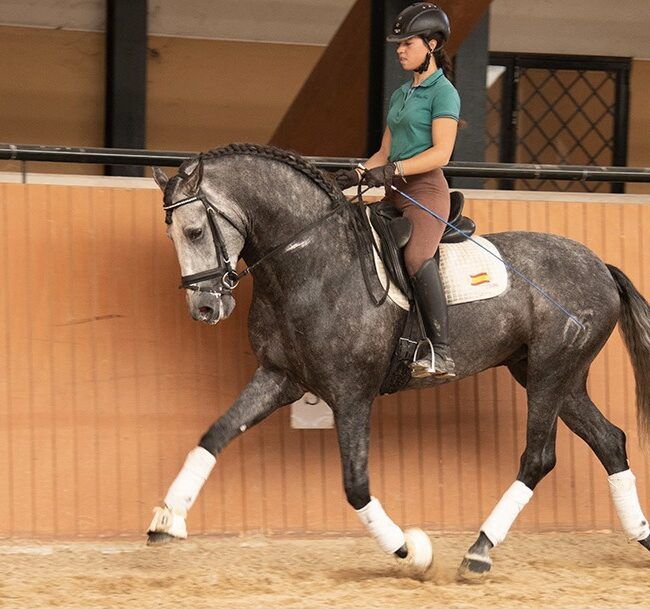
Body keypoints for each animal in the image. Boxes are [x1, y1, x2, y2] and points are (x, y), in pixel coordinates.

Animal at [147, 143, 650, 578]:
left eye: (194, 231)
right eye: (170, 234)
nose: (205, 308)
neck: (312, 264)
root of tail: (600, 266)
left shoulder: (351, 393)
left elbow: (355, 485)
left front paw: (411, 551)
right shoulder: (278, 377)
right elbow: (214, 436)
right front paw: (167, 519)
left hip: (550, 372)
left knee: (539, 457)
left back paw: (479, 550)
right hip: (555, 376)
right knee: (610, 441)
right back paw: (642, 535)